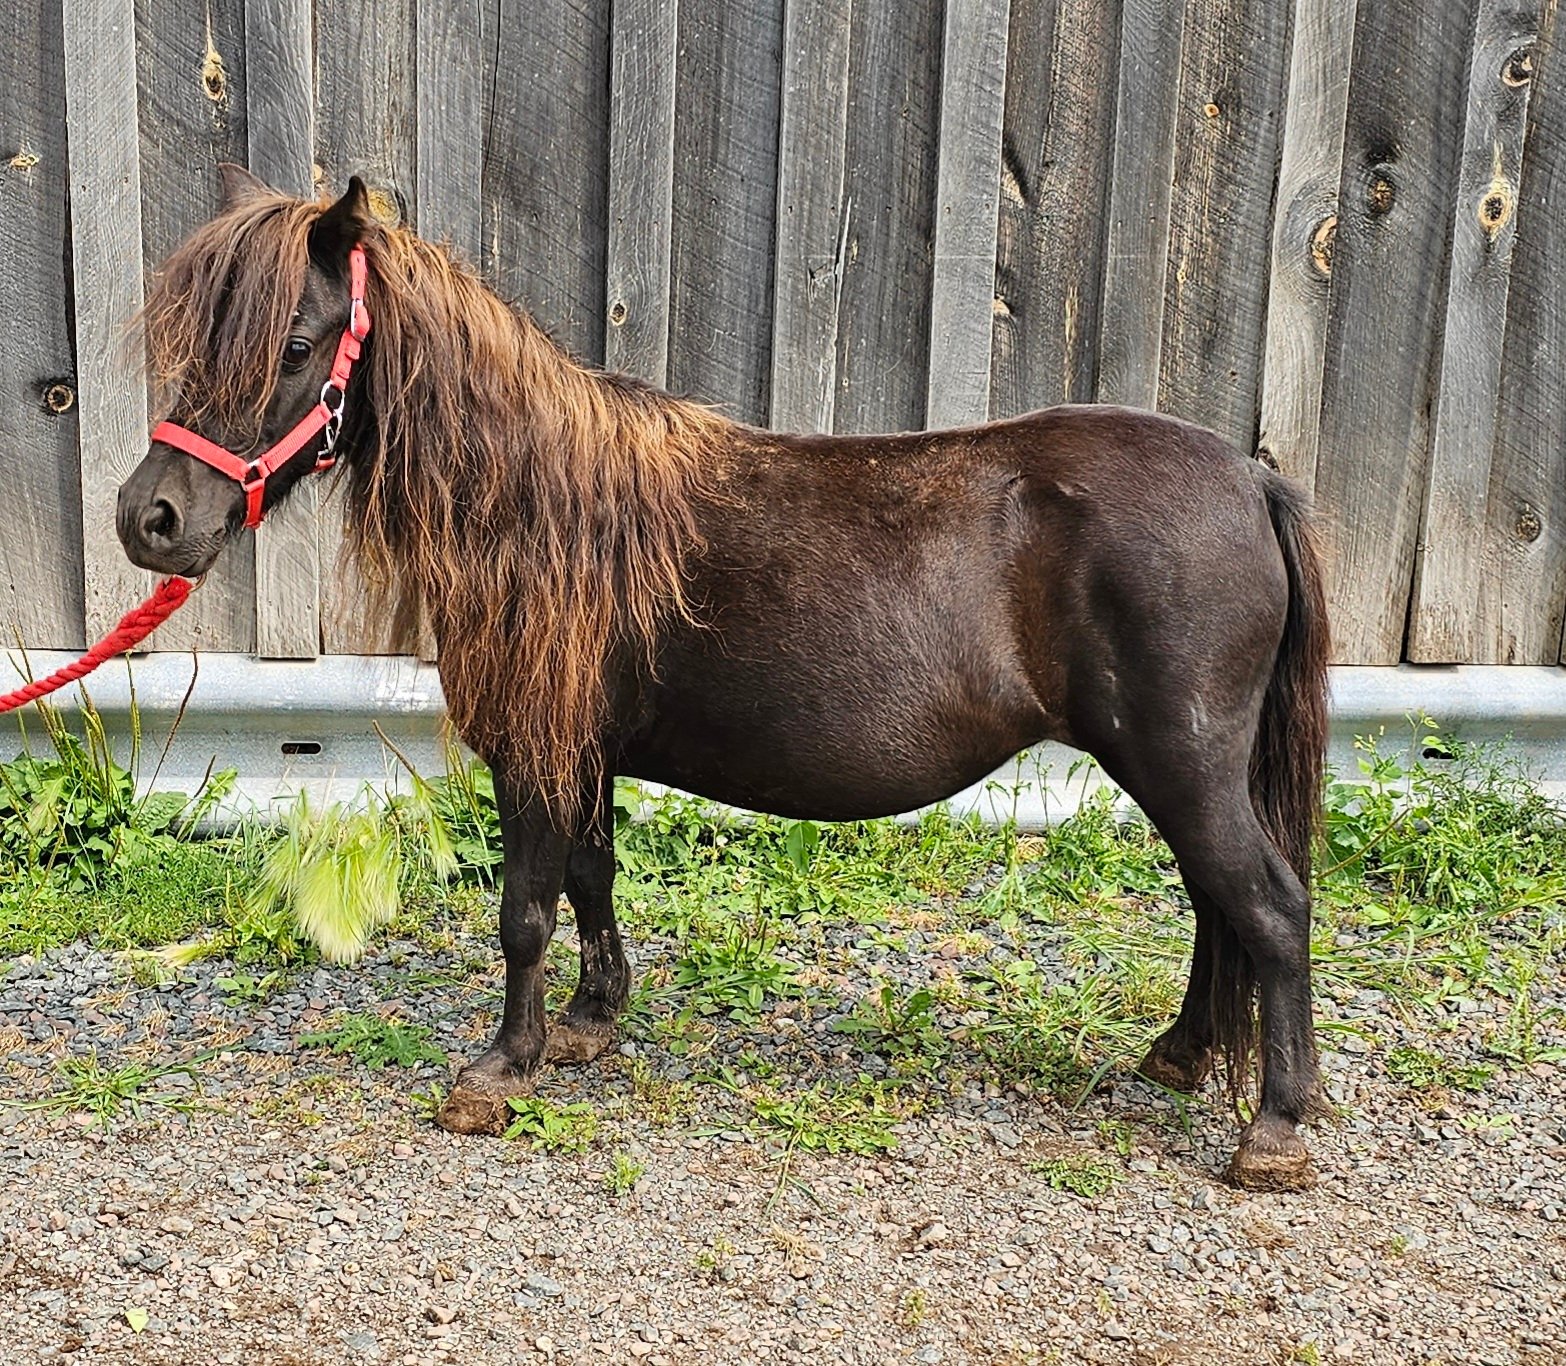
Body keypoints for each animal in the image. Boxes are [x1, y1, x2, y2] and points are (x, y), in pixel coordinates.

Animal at [115, 170, 1327, 1190]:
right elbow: (593, 877)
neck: (541, 504)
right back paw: (1181, 1054)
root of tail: (1250, 476)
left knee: (1267, 905)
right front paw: (589, 1023)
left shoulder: (535, 749)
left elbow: (525, 909)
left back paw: (1273, 1128)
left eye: (295, 338)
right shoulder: (583, 748)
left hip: (1180, 759)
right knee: (1218, 904)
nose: (149, 517)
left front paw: (499, 1069)